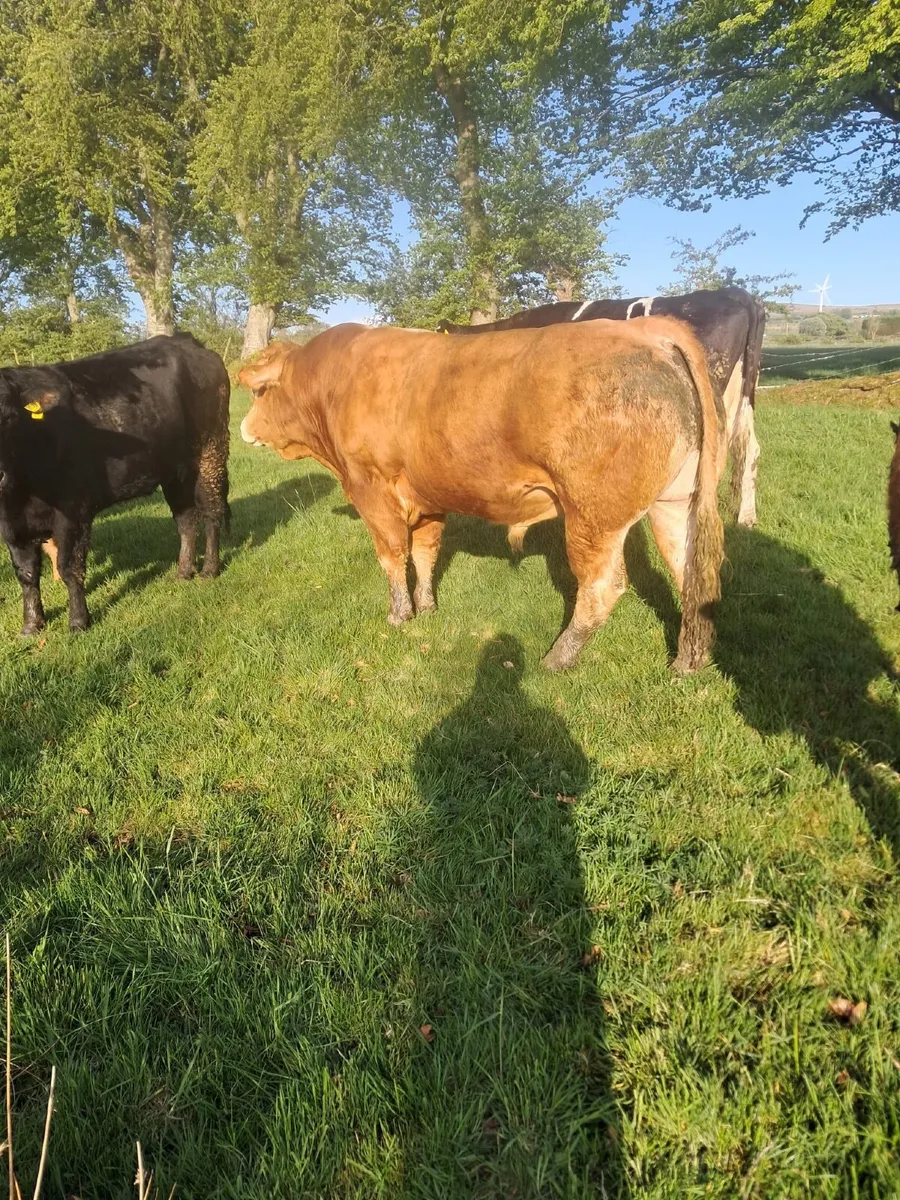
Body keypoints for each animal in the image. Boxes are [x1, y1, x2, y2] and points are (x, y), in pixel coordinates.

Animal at [0, 334, 229, 636]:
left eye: (9, 418)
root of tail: (187, 341)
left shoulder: (73, 512)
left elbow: (69, 567)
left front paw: (78, 621)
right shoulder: (11, 526)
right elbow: (26, 574)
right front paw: (31, 625)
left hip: (210, 451)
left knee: (211, 512)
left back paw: (209, 570)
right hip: (174, 469)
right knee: (186, 521)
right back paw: (183, 571)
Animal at [239, 320, 725, 673]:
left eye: (260, 391)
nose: (243, 427)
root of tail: (647, 327)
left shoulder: (370, 488)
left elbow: (393, 554)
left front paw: (400, 615)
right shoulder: (428, 496)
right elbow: (426, 551)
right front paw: (427, 606)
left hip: (594, 516)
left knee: (603, 586)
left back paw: (557, 657)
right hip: (674, 505)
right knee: (690, 575)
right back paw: (688, 662)